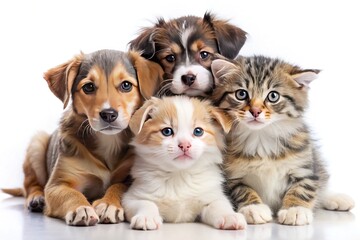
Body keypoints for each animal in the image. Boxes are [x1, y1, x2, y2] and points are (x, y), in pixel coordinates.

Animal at [1, 49, 163, 226]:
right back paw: (36, 198)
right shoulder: (57, 184)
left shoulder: (131, 178)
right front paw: (81, 208)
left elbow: (119, 186)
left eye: (126, 85)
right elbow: (71, 194)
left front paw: (108, 204)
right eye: (89, 87)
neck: (108, 141)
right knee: (30, 184)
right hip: (37, 142)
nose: (108, 114)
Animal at [121, 96, 248, 231]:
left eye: (198, 131)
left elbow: (219, 204)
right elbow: (146, 203)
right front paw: (146, 217)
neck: (179, 174)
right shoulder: (133, 196)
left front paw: (229, 216)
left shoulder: (212, 195)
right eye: (167, 131)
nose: (185, 145)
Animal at [211, 55, 354, 225]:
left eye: (273, 96)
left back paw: (337, 198)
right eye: (241, 94)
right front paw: (254, 208)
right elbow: (242, 190)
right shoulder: (231, 176)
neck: (261, 138)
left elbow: (303, 188)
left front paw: (295, 210)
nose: (255, 111)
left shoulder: (304, 167)